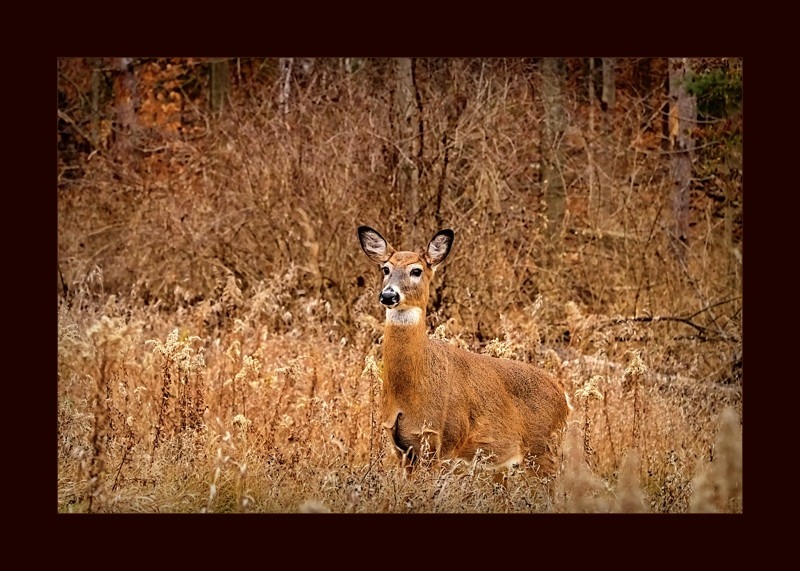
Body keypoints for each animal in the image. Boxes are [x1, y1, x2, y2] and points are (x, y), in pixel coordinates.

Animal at [358, 225, 571, 477]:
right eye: (386, 269)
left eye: (416, 270)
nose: (389, 295)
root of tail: (564, 397)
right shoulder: (402, 449)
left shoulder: (447, 441)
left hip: (543, 448)